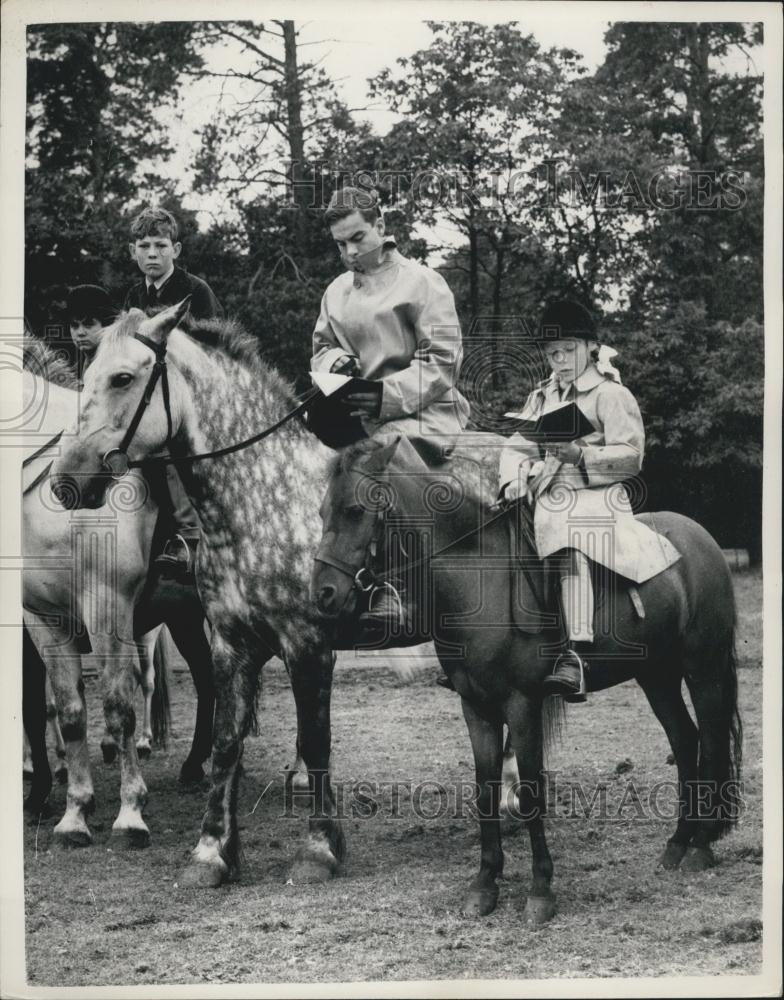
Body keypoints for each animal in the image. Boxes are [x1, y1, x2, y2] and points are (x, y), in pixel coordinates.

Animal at [21, 338, 215, 835]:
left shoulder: (106, 609)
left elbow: (116, 705)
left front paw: (129, 810)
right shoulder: (42, 618)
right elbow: (64, 709)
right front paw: (67, 804)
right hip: (186, 616)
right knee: (209, 678)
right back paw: (195, 765)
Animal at [49, 302, 344, 887]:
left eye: (122, 378)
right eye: (86, 377)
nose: (65, 481)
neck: (264, 495)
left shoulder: (309, 643)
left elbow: (317, 739)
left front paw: (319, 849)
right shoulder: (234, 642)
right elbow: (228, 739)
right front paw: (211, 852)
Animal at [311, 432, 743, 921]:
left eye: (354, 511)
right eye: (323, 511)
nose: (322, 593)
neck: (477, 577)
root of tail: (700, 538)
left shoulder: (522, 704)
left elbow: (532, 791)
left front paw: (540, 890)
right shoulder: (476, 707)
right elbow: (484, 793)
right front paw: (484, 885)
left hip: (703, 670)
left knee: (711, 740)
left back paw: (701, 847)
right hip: (657, 676)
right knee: (685, 740)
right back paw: (677, 844)